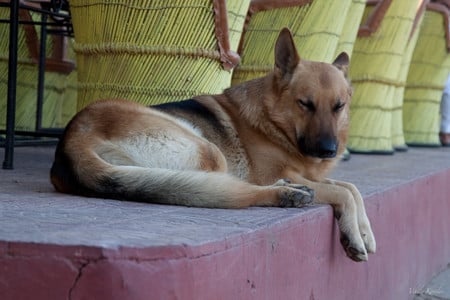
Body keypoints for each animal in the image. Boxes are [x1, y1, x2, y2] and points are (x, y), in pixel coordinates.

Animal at [51, 28, 376, 262]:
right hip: (208, 151)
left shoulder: (308, 173)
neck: (272, 121)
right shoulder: (275, 172)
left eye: (338, 106)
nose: (328, 150)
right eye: (305, 104)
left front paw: (365, 234)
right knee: (224, 190)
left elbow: (352, 189)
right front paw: (354, 235)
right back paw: (286, 193)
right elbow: (343, 192)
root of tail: (72, 140)